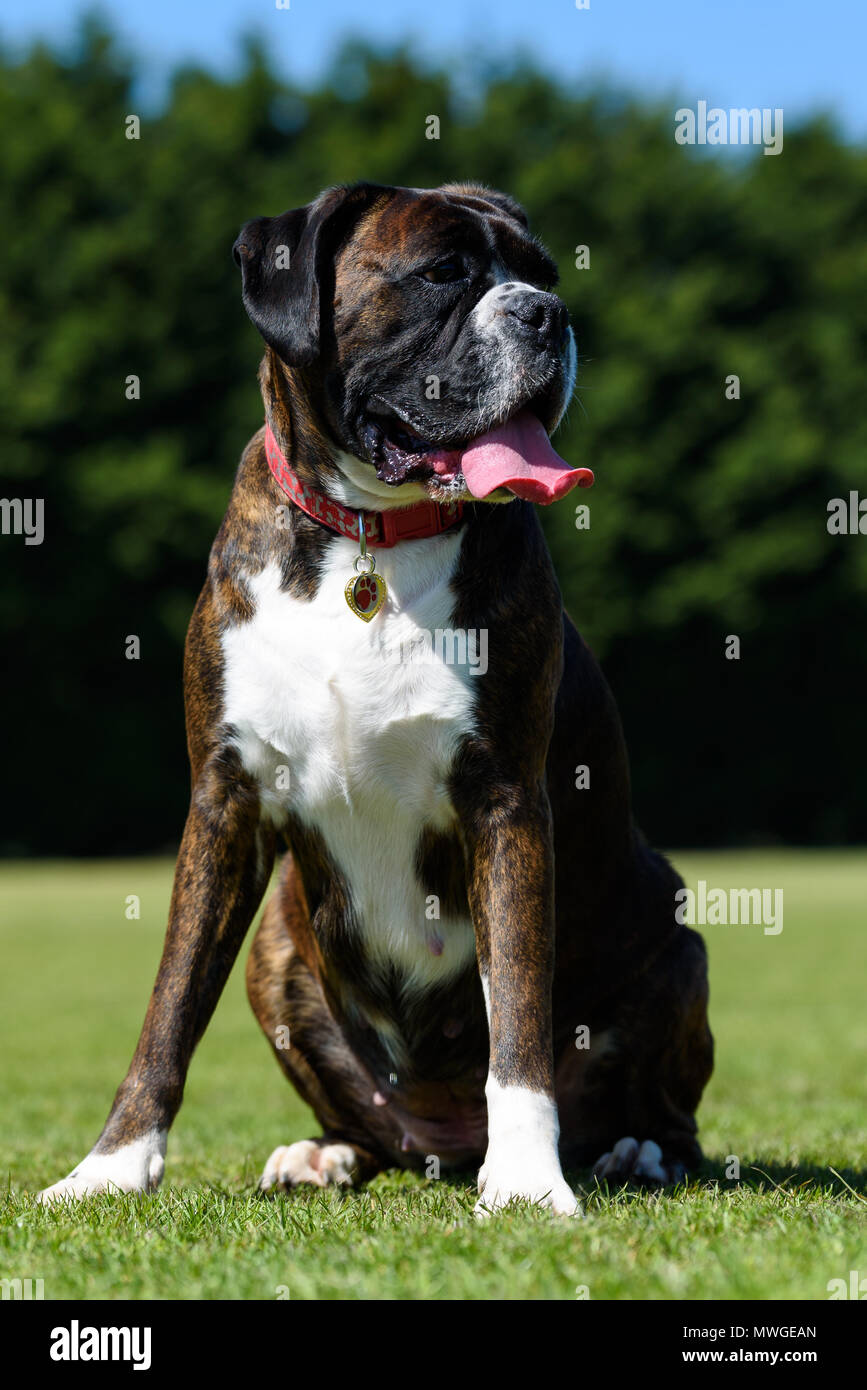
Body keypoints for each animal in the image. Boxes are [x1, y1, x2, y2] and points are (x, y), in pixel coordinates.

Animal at [38, 184, 711, 1217]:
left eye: (543, 274)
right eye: (441, 274)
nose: (547, 316)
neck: (370, 537)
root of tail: (438, 1141)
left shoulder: (505, 804)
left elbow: (519, 1010)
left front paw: (526, 1182)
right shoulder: (224, 803)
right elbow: (169, 1007)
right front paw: (109, 1167)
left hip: (679, 940)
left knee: (664, 1114)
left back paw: (633, 1152)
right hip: (276, 949)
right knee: (365, 1122)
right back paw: (326, 1154)